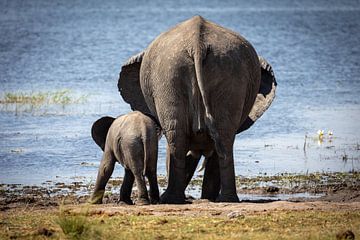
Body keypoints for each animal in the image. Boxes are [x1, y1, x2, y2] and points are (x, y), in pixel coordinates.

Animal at [116, 15, 278, 202]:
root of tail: (198, 44)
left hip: (174, 76)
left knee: (184, 137)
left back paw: (175, 199)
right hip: (205, 73)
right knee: (219, 137)